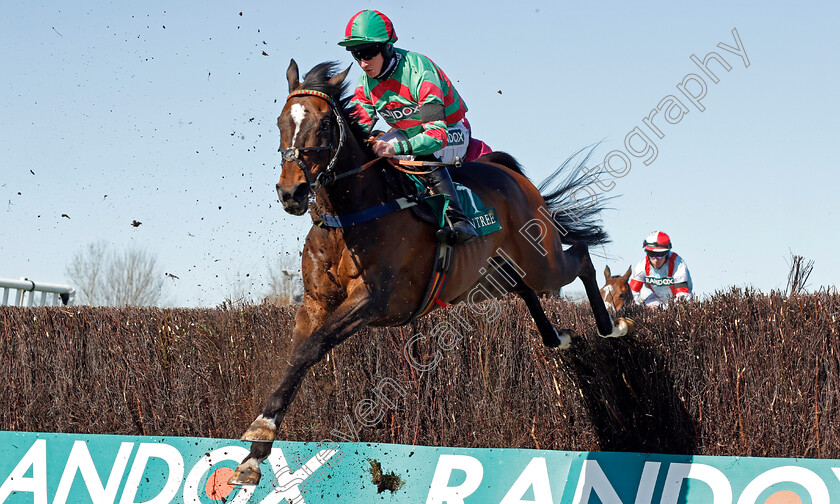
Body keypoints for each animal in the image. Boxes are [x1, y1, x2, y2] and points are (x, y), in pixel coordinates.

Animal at [226, 59, 632, 484]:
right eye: (280, 121)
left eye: (324, 123)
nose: (292, 192)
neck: (352, 215)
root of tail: (509, 174)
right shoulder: (316, 302)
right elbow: (297, 355)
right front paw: (254, 455)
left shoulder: (373, 300)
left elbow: (312, 348)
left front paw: (261, 433)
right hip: (489, 276)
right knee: (525, 288)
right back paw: (558, 338)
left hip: (542, 260)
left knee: (580, 256)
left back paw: (612, 326)